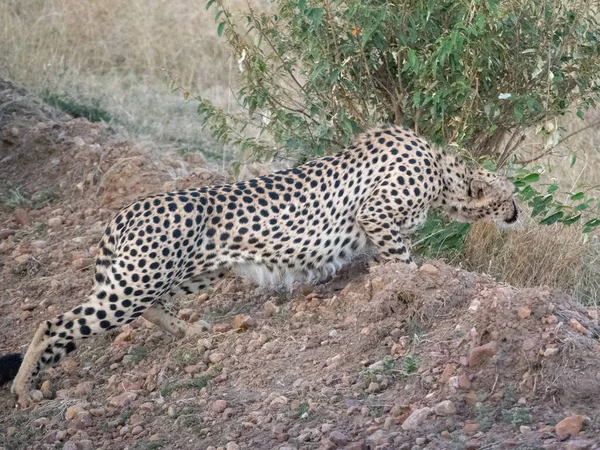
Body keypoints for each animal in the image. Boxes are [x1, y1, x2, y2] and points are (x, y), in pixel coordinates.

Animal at [0, 125, 516, 406]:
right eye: (510, 194)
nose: (517, 212)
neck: (444, 174)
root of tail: (126, 208)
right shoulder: (377, 216)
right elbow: (404, 261)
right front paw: (421, 284)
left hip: (185, 273)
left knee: (150, 310)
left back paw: (193, 332)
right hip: (135, 283)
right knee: (53, 323)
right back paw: (23, 389)